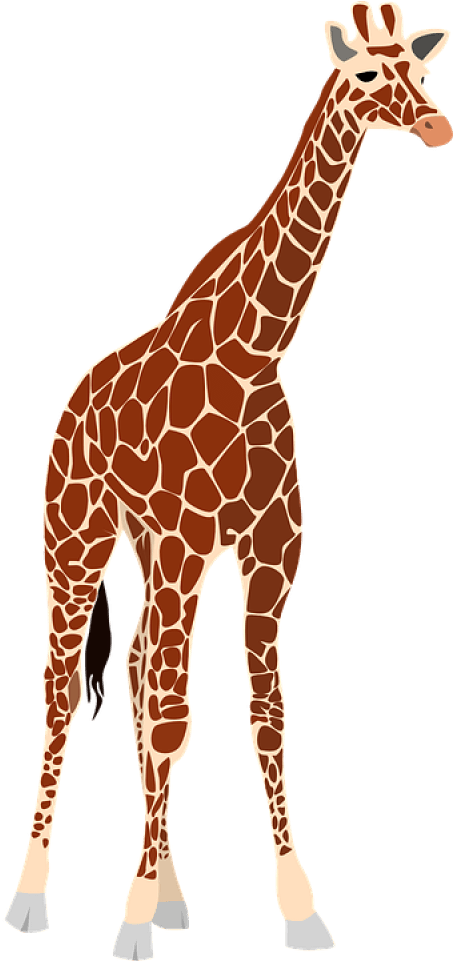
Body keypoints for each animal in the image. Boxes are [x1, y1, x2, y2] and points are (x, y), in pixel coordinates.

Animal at [2, 3, 453, 958]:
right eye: (367, 75)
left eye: (424, 71)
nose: (437, 127)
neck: (256, 352)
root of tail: (72, 401)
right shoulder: (184, 539)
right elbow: (172, 720)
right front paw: (130, 919)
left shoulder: (271, 551)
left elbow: (265, 719)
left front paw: (299, 907)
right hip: (78, 536)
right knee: (68, 691)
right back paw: (32, 896)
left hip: (154, 551)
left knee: (139, 665)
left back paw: (174, 893)